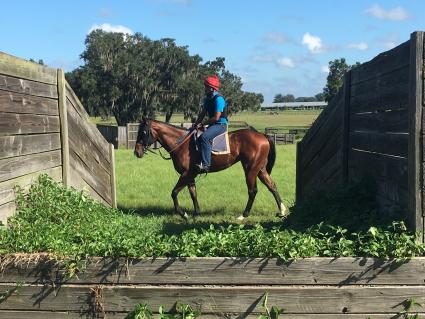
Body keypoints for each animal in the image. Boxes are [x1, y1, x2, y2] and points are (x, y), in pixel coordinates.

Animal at [134, 118, 286, 222]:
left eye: (143, 132)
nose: (136, 152)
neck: (181, 144)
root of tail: (262, 135)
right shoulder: (190, 175)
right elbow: (193, 194)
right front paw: (196, 213)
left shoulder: (186, 174)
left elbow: (174, 192)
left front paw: (183, 214)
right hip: (260, 169)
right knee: (272, 186)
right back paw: (282, 211)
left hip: (250, 169)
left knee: (252, 191)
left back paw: (244, 215)